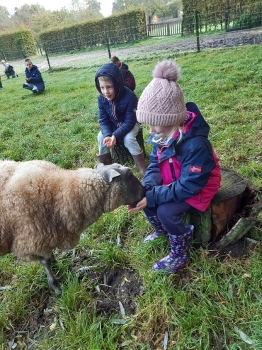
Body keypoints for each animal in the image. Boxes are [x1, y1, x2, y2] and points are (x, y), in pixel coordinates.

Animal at [0, 160, 145, 294]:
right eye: (130, 174)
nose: (145, 192)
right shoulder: (33, 242)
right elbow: (45, 262)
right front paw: (56, 286)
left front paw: (54, 262)